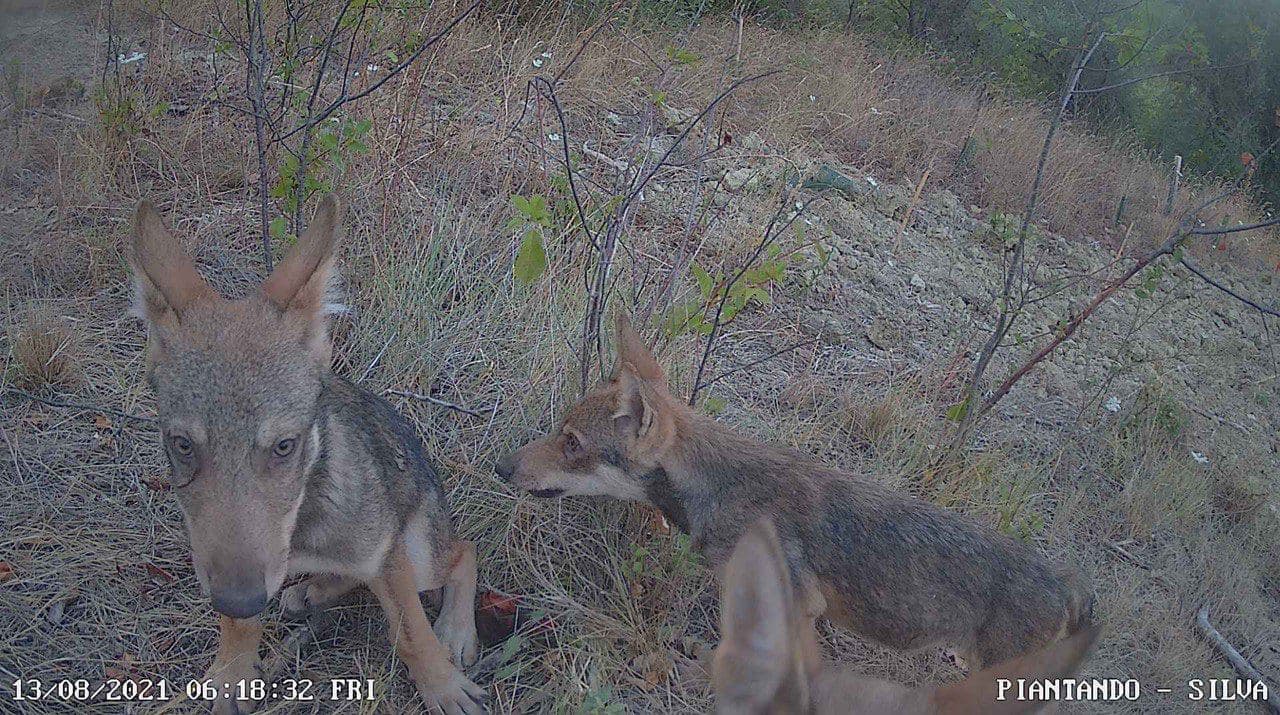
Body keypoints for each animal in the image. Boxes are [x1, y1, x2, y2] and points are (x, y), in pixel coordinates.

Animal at [129, 195, 481, 715]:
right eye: (183, 445)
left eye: (284, 446)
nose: (237, 600)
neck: (301, 526)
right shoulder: (239, 567)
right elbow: (241, 628)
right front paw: (232, 675)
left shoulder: (386, 555)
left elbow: (413, 634)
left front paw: (444, 685)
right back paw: (312, 591)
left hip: (419, 558)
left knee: (462, 553)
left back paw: (455, 632)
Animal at [494, 315, 1095, 675]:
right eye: (561, 430)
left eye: (572, 442)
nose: (501, 467)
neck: (721, 486)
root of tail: (1067, 583)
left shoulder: (795, 604)